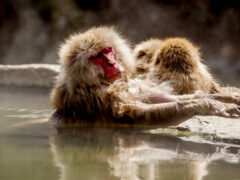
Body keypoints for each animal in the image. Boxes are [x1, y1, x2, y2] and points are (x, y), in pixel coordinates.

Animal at [49, 26, 239, 128]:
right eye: (96, 57)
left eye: (107, 50)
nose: (111, 63)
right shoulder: (101, 97)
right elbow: (139, 114)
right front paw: (206, 106)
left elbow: (166, 99)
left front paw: (226, 99)